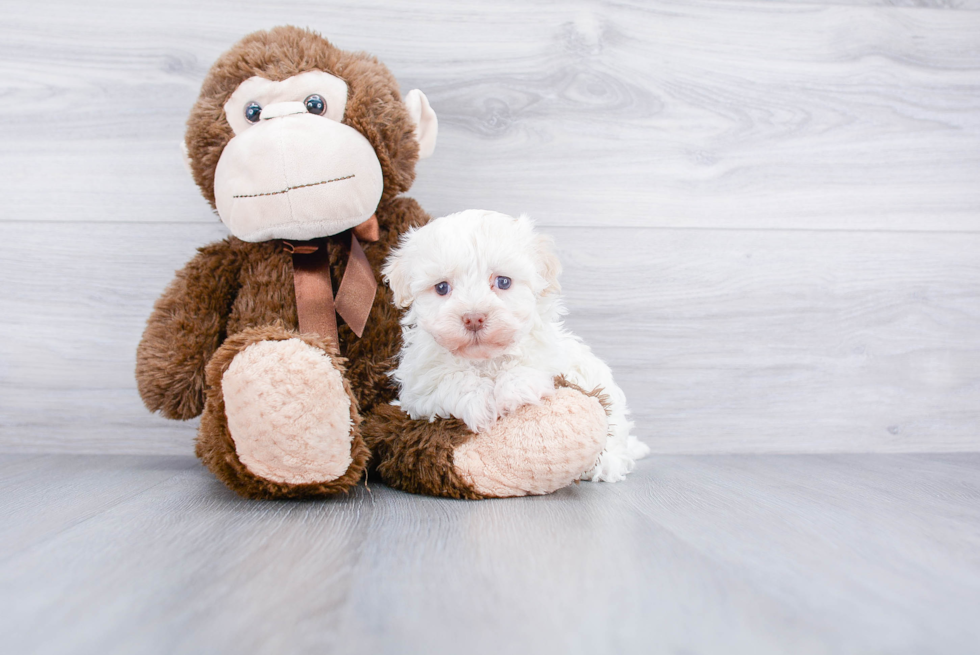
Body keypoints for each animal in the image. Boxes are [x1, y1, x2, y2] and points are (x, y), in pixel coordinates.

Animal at [382, 209, 652, 482]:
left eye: (503, 282)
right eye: (441, 287)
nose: (473, 318)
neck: (485, 360)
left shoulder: (554, 356)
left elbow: (531, 363)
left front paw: (513, 390)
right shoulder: (418, 387)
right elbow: (448, 378)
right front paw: (478, 401)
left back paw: (606, 464)